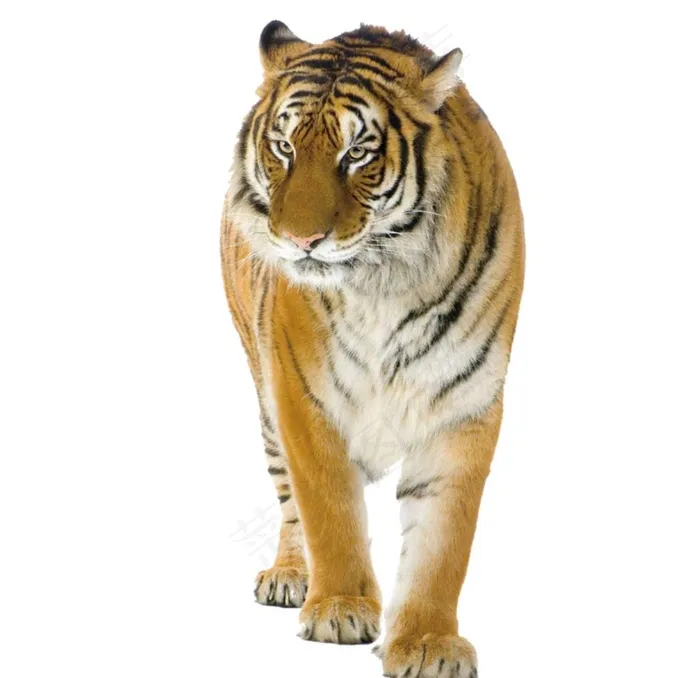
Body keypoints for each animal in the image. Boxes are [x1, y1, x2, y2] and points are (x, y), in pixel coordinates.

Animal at [221, 20, 524, 677]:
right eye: (283, 147)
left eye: (356, 153)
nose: (300, 241)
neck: (383, 281)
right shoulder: (303, 395)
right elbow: (329, 509)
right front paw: (339, 608)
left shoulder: (462, 402)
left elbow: (443, 541)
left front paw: (429, 641)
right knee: (289, 499)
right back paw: (290, 576)